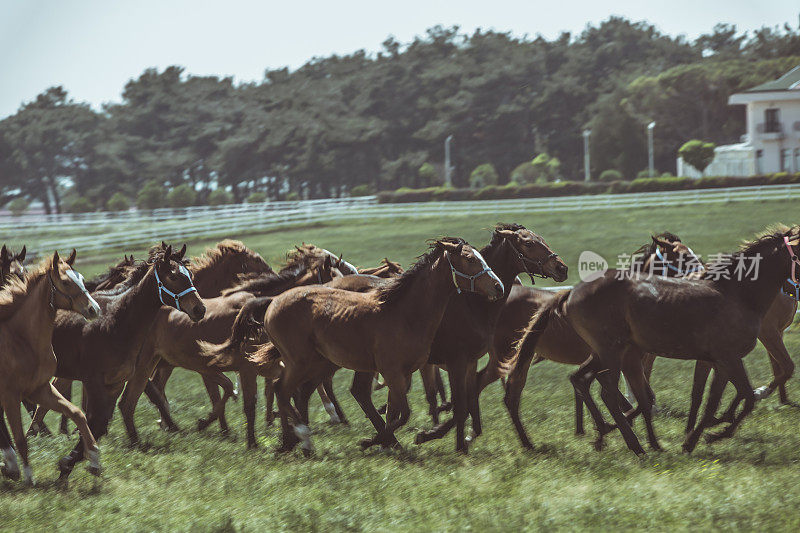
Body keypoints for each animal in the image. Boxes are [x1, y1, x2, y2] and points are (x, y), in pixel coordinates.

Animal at [0, 249, 103, 482]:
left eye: (82, 278)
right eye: (65, 282)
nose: (94, 309)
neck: (22, 340)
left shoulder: (40, 389)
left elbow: (77, 413)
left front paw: (94, 458)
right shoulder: (11, 397)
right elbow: (21, 438)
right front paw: (29, 478)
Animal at [512, 224, 800, 454]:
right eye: (682, 255)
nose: (791, 290)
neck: (737, 294)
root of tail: (570, 293)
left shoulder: (720, 360)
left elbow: (711, 402)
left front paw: (693, 439)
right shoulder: (726, 357)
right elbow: (745, 397)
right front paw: (713, 434)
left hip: (607, 353)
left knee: (585, 381)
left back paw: (615, 436)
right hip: (609, 352)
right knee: (605, 391)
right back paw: (634, 444)